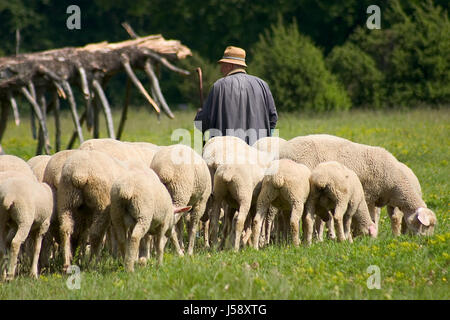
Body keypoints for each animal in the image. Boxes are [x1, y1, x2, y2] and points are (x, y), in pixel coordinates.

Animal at [280, 134, 438, 236]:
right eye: (426, 226)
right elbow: (370, 217)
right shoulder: (368, 195)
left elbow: (386, 218)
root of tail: (283, 151)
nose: (426, 241)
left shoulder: (379, 199)